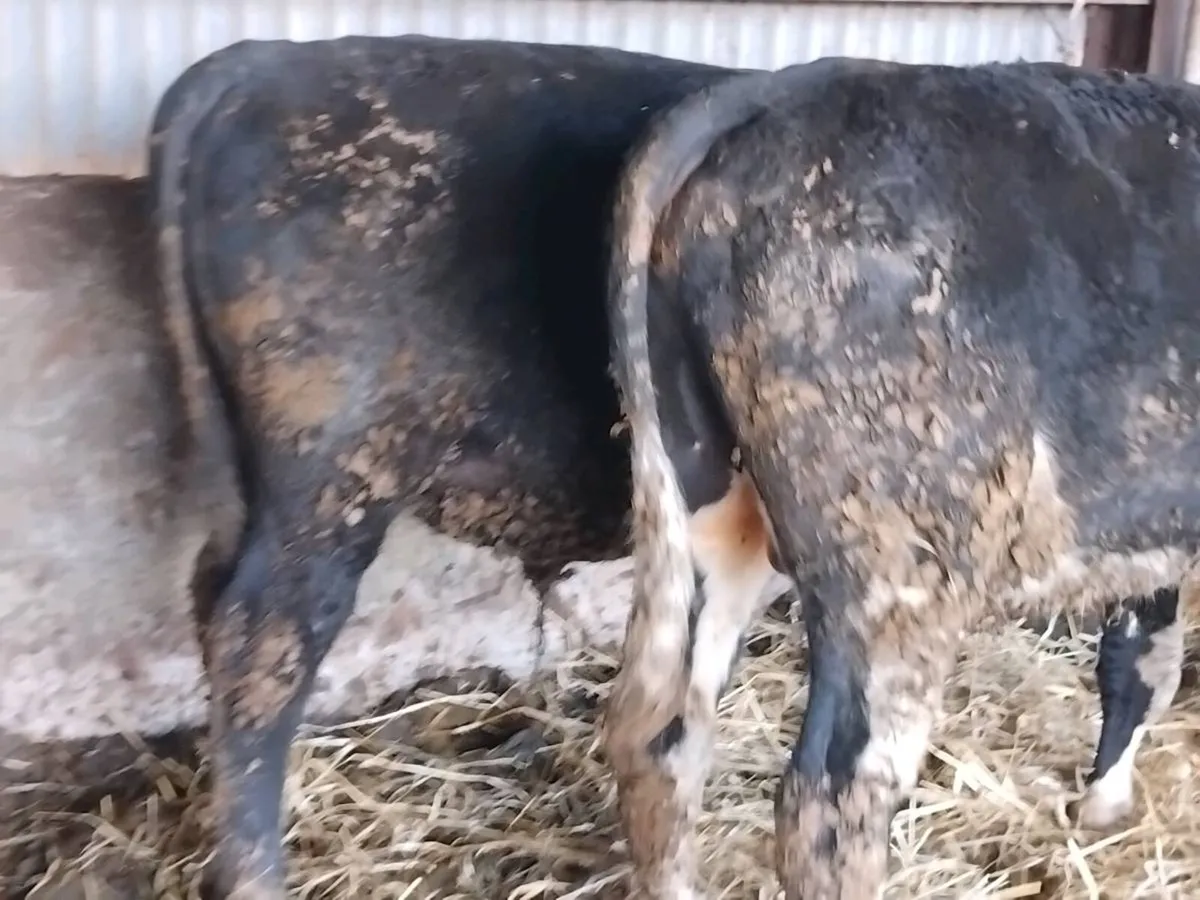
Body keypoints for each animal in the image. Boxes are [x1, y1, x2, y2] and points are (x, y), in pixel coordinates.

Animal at [141, 33, 748, 898]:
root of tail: (260, 60)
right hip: (329, 464)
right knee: (263, 636)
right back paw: (258, 874)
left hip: (246, 468)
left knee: (212, 594)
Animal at [601, 57, 1200, 899]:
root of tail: (775, 92)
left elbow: (1142, 658)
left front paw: (1104, 810)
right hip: (900, 552)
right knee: (834, 790)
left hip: (700, 500)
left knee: (658, 734)